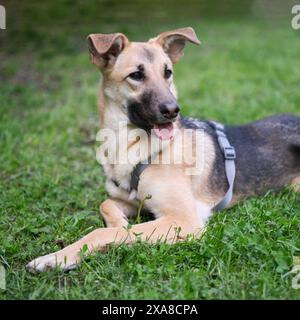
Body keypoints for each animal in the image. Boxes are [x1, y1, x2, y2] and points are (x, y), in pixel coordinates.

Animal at [27, 28, 298, 272]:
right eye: (136, 75)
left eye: (168, 72)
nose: (173, 110)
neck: (130, 146)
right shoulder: (134, 202)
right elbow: (107, 205)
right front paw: (120, 223)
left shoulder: (183, 221)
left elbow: (102, 232)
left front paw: (56, 258)